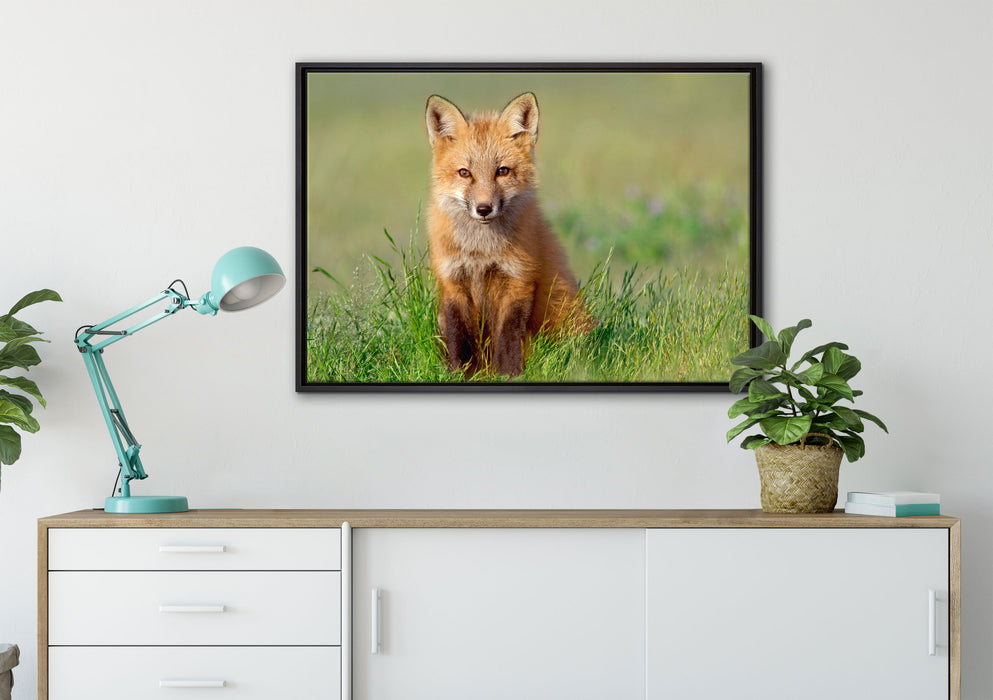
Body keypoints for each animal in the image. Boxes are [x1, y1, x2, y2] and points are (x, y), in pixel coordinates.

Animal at [424, 91, 589, 378]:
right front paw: (459, 374)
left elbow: (508, 336)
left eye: (502, 171)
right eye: (464, 173)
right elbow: (458, 337)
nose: (483, 209)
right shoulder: (452, 281)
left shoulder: (518, 279)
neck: (480, 252)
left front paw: (509, 374)